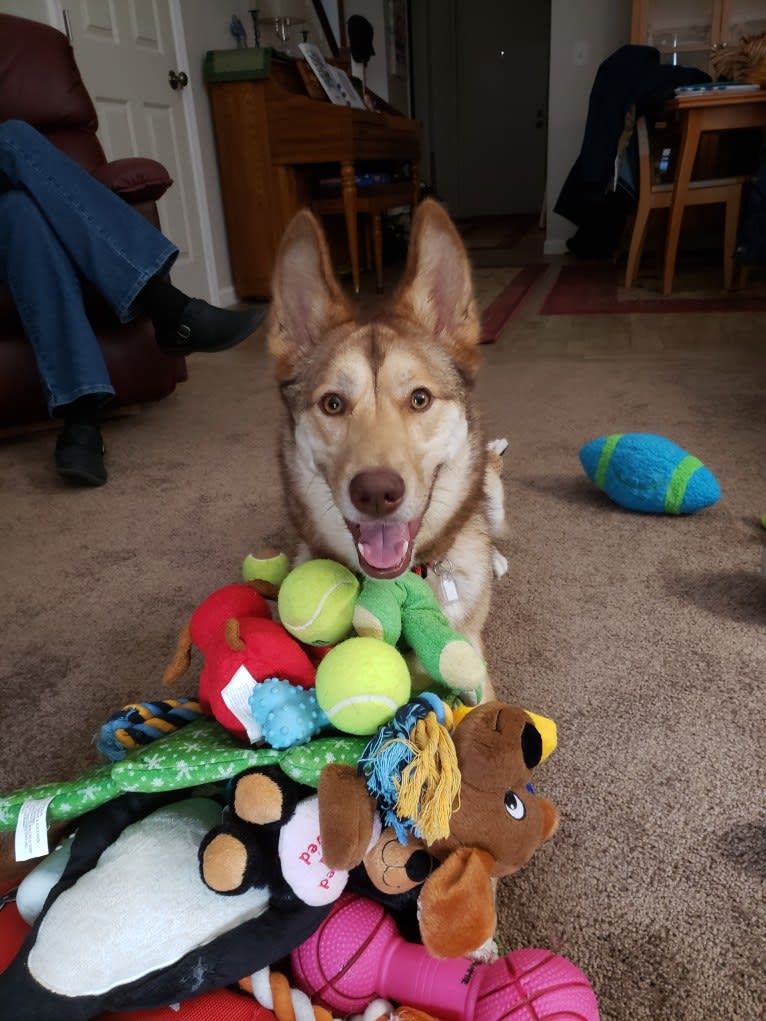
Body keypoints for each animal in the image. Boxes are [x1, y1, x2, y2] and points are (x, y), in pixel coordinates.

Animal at [267, 199, 506, 694]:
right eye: (333, 403)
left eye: (419, 399)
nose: (376, 493)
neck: (404, 578)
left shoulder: (474, 661)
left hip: (492, 489)